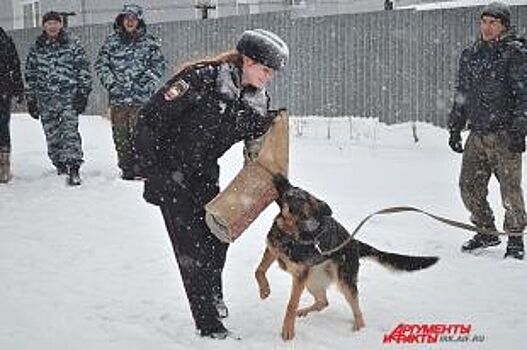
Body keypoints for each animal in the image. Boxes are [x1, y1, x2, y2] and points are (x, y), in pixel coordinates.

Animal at [256, 176, 442, 340]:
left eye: (304, 198)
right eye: (291, 190)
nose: (286, 186)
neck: (290, 232)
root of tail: (354, 241)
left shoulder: (300, 276)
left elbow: (291, 304)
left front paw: (288, 330)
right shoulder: (272, 251)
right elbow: (259, 270)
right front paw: (264, 290)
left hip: (343, 281)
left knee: (355, 308)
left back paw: (359, 329)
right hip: (312, 280)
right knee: (323, 302)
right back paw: (304, 311)